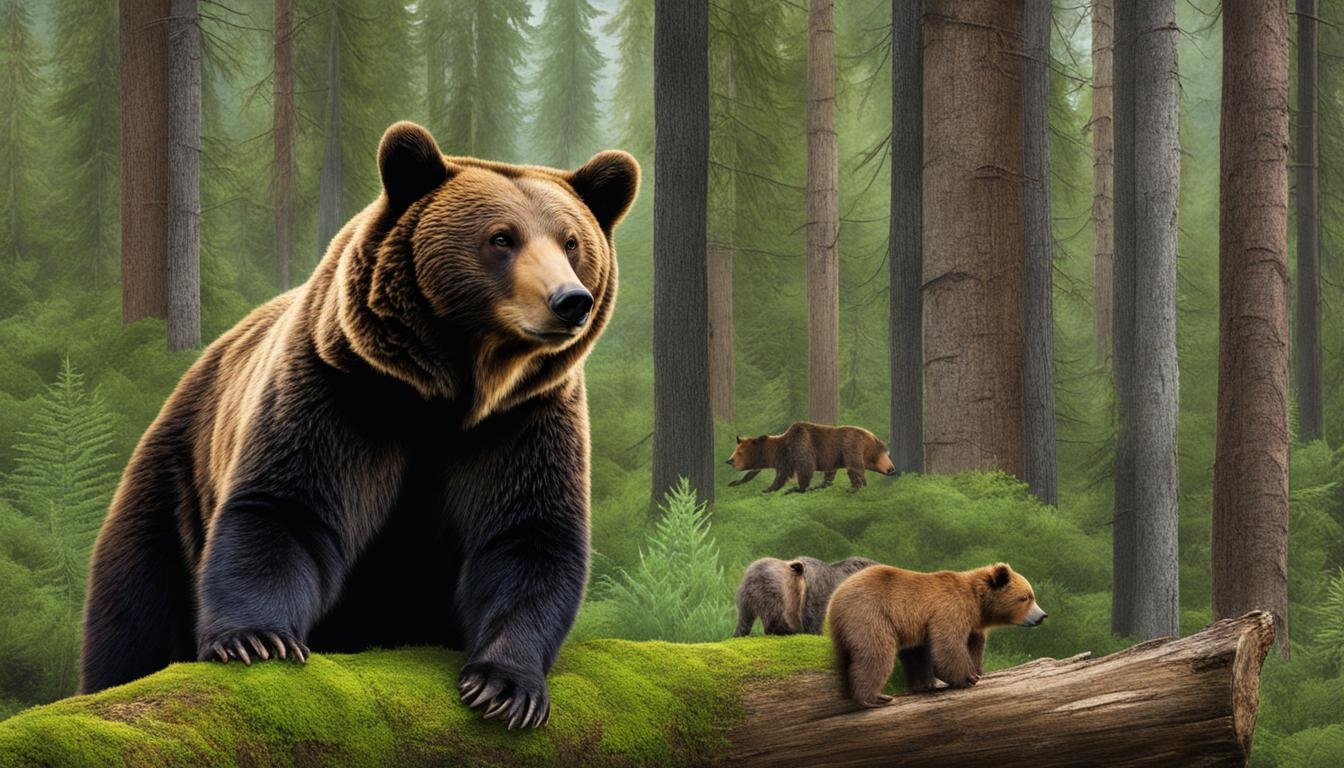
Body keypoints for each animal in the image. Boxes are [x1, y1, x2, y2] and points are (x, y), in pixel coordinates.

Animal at [78, 121, 639, 730]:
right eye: (501, 238)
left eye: (571, 242)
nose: (570, 300)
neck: (451, 390)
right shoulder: (337, 388)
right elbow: (285, 508)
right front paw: (256, 639)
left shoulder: (524, 419)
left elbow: (528, 535)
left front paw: (504, 686)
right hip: (173, 477)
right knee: (135, 608)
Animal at [725, 422, 897, 493]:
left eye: (739, 452)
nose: (729, 460)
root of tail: (873, 437)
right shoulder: (785, 460)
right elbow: (779, 476)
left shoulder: (801, 447)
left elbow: (805, 470)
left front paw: (796, 488)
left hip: (850, 448)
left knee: (854, 469)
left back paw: (854, 487)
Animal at [826, 562, 1046, 707]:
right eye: (1025, 597)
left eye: (1031, 595)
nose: (1042, 616)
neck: (978, 606)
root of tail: (835, 598)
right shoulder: (949, 609)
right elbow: (948, 643)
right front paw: (967, 677)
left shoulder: (964, 626)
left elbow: (923, 654)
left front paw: (927, 684)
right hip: (870, 613)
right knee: (876, 652)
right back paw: (875, 697)